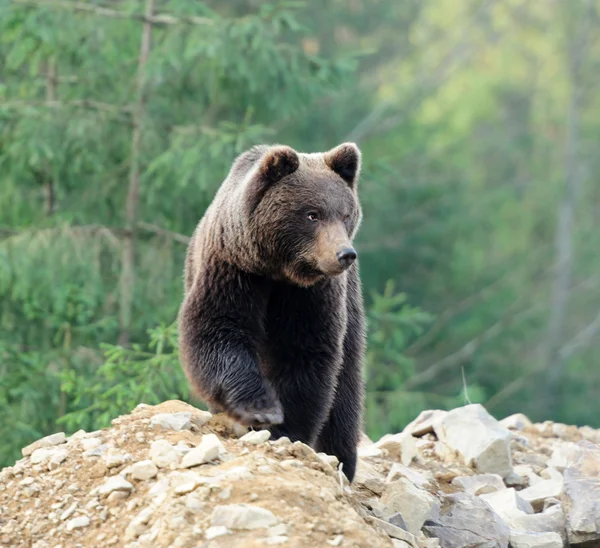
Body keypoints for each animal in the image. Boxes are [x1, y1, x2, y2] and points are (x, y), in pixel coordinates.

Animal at [178, 142, 366, 480]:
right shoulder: (231, 268)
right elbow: (218, 330)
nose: (344, 254)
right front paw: (261, 408)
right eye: (312, 214)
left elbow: (304, 352)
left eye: (346, 214)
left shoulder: (311, 293)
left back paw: (342, 458)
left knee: (346, 384)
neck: (277, 269)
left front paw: (284, 429)